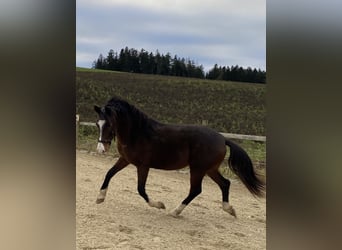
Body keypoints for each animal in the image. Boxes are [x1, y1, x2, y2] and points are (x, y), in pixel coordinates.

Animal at [93, 96, 264, 218]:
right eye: (97, 124)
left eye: (109, 124)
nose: (101, 149)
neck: (137, 133)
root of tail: (223, 139)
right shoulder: (125, 160)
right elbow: (109, 173)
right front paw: (100, 198)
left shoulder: (143, 165)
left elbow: (141, 189)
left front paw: (160, 205)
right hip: (210, 169)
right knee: (225, 184)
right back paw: (230, 210)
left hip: (198, 169)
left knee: (196, 190)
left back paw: (175, 211)